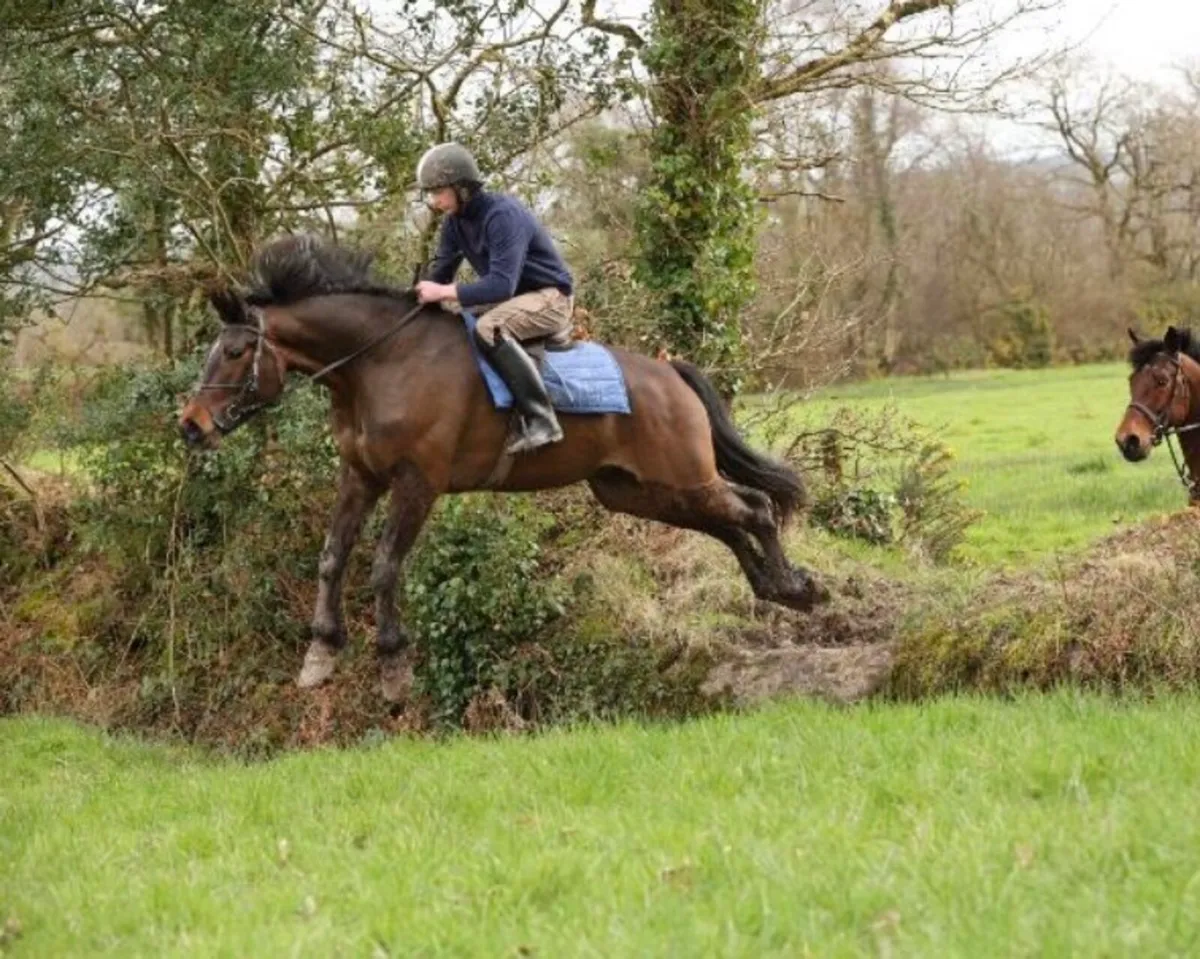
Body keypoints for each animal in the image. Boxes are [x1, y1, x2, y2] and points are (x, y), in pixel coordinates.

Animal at [179, 235, 829, 701]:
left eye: (234, 352)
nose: (191, 426)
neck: (376, 363)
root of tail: (672, 372)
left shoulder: (417, 483)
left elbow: (385, 567)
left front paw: (392, 666)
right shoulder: (360, 477)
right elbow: (332, 558)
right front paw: (321, 655)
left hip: (679, 477)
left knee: (754, 507)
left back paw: (796, 587)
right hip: (637, 491)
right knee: (727, 522)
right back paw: (775, 588)